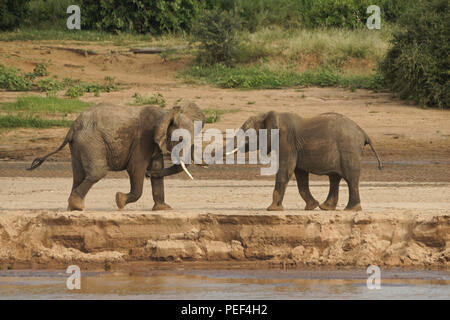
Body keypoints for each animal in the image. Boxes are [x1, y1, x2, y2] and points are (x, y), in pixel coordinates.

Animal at [27, 101, 204, 211]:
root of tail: (72, 127)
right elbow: (135, 169)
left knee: (78, 175)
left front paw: (164, 209)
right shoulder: (143, 139)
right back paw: (77, 206)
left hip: (78, 144)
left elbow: (157, 167)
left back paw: (74, 207)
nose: (148, 175)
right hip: (91, 141)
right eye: (180, 139)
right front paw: (120, 200)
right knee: (97, 172)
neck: (166, 113)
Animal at [230, 111, 382, 211]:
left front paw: (272, 210)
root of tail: (363, 133)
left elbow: (285, 170)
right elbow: (301, 176)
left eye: (246, 133)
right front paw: (311, 207)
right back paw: (326, 208)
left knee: (350, 179)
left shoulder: (286, 142)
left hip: (349, 150)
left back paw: (351, 209)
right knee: (335, 178)